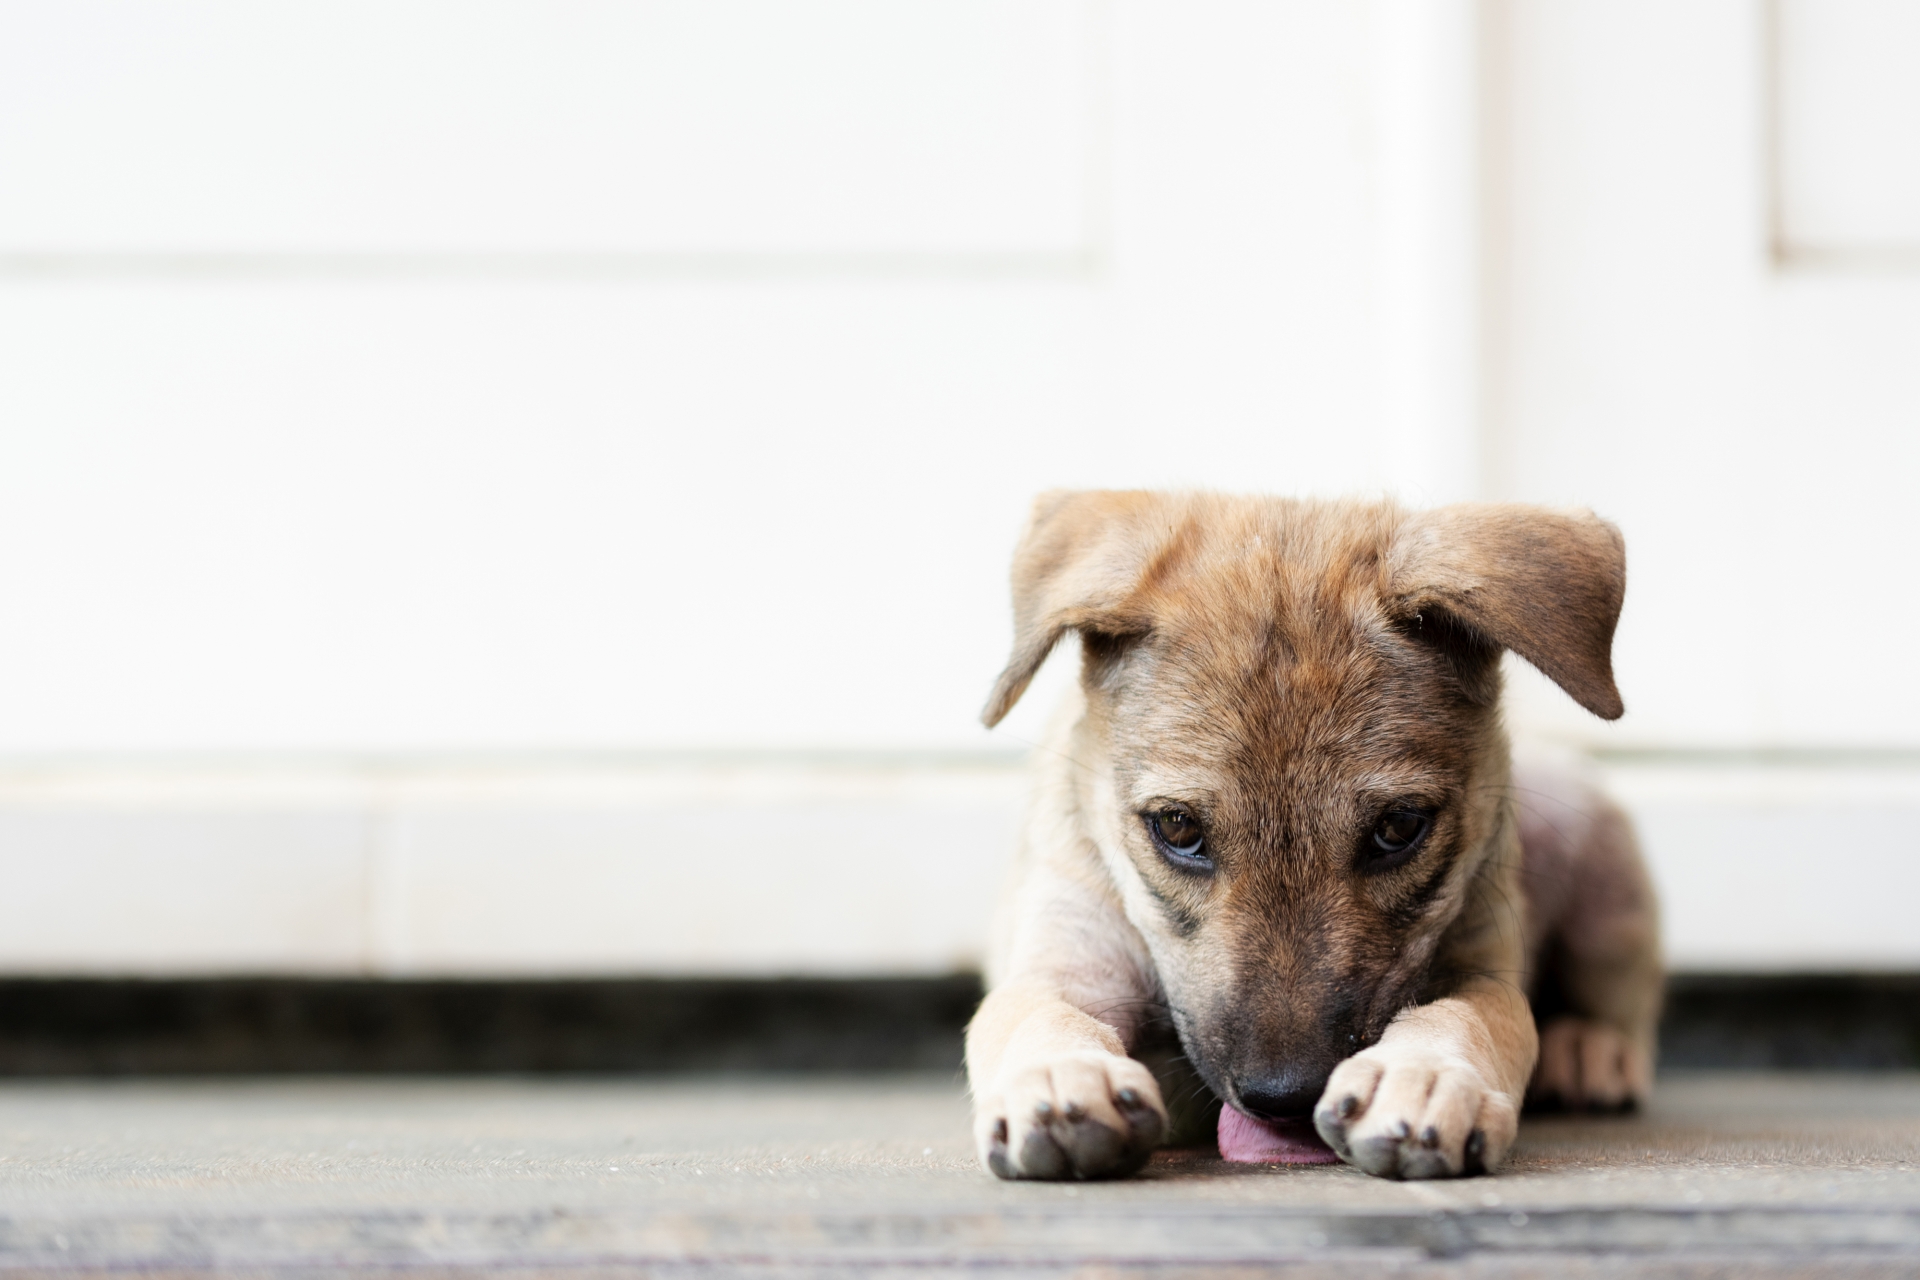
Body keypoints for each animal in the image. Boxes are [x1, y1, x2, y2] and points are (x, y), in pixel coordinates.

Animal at [967, 491, 1658, 1182]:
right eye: (1177, 827)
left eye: (1399, 827)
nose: (1284, 1098)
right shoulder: (1066, 953)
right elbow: (1033, 1011)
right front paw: (1060, 1077)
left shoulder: (1484, 964)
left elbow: (1468, 1017)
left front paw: (1425, 1074)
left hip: (1596, 848)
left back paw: (1588, 1047)